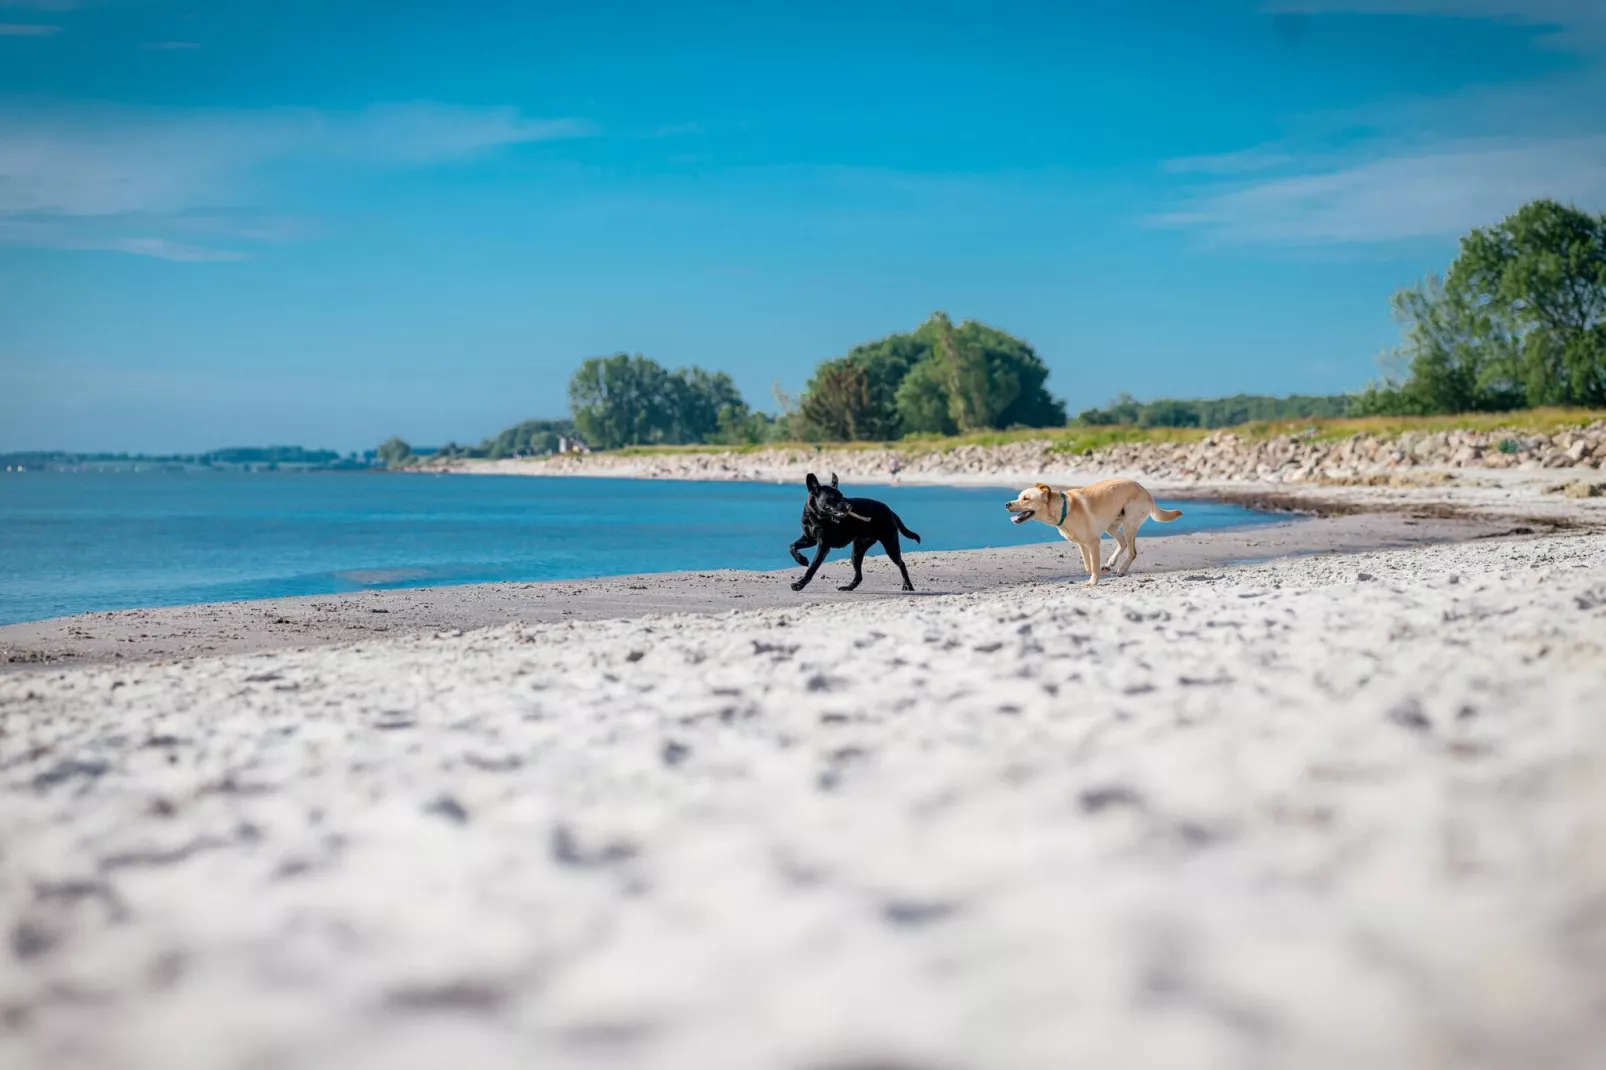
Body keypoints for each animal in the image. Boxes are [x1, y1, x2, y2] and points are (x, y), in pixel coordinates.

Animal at [786, 472, 925, 591]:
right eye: (833, 498)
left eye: (842, 496)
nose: (849, 507)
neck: (815, 517)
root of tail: (890, 510)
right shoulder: (809, 539)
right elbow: (792, 546)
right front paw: (801, 560)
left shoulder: (823, 546)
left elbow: (813, 567)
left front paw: (799, 584)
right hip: (857, 550)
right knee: (859, 575)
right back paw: (848, 587)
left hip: (890, 545)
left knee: (902, 564)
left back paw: (908, 585)